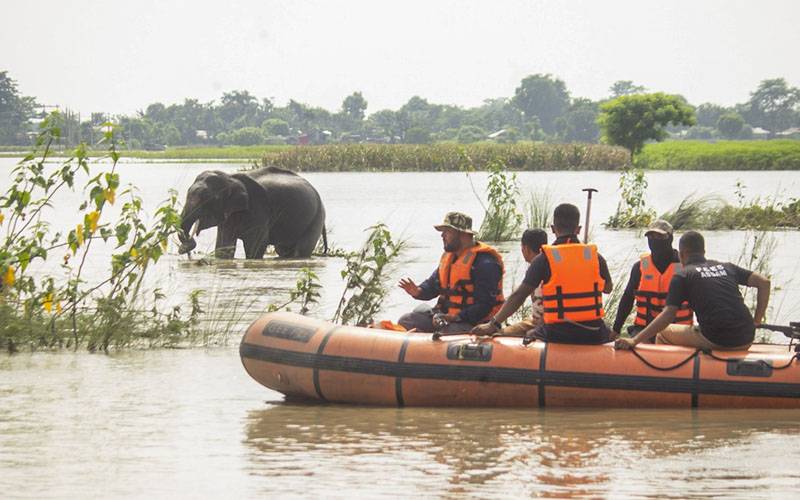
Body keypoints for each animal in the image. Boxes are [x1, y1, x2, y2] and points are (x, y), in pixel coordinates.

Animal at [179, 167, 328, 260]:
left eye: (208, 198)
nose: (182, 249)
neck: (229, 178)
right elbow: (224, 245)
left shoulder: (259, 207)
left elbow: (256, 245)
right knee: (283, 250)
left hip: (316, 217)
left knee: (302, 249)